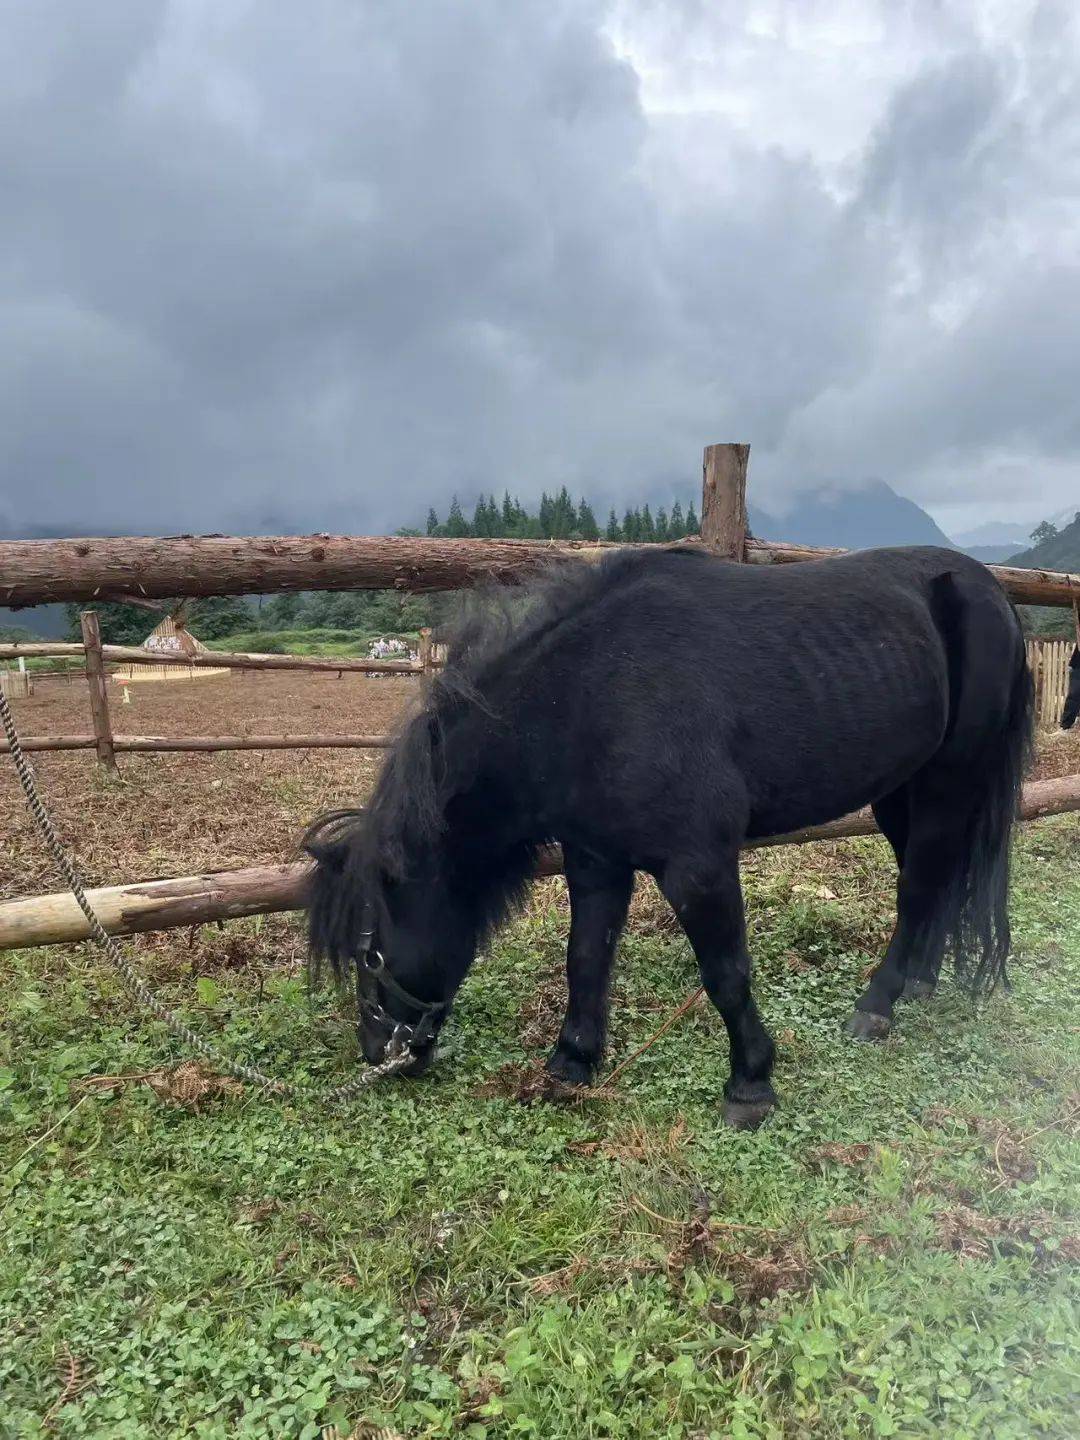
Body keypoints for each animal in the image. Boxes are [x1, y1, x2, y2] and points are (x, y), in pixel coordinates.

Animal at [304, 545, 1033, 1128]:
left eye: (369, 953)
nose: (379, 1052)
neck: (589, 696)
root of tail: (988, 587)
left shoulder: (697, 866)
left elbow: (726, 973)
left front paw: (750, 1084)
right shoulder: (595, 860)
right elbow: (585, 957)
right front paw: (572, 1061)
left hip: (947, 780)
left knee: (920, 883)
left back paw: (878, 1005)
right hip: (898, 790)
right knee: (933, 878)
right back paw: (918, 981)